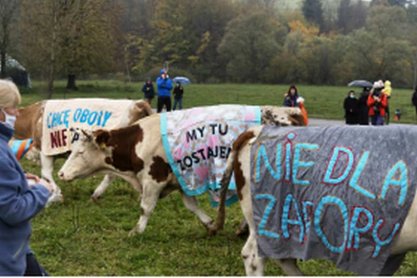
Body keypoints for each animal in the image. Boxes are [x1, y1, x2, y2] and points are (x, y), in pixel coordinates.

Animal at [14, 99, 155, 203]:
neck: (34, 117)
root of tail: (138, 103)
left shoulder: (45, 150)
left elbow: (46, 174)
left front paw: (56, 195)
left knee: (112, 174)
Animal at [57, 105, 306, 236]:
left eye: (79, 152)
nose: (60, 174)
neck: (139, 141)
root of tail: (288, 113)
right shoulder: (183, 179)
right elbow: (192, 206)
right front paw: (211, 224)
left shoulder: (153, 179)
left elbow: (145, 208)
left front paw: (136, 231)